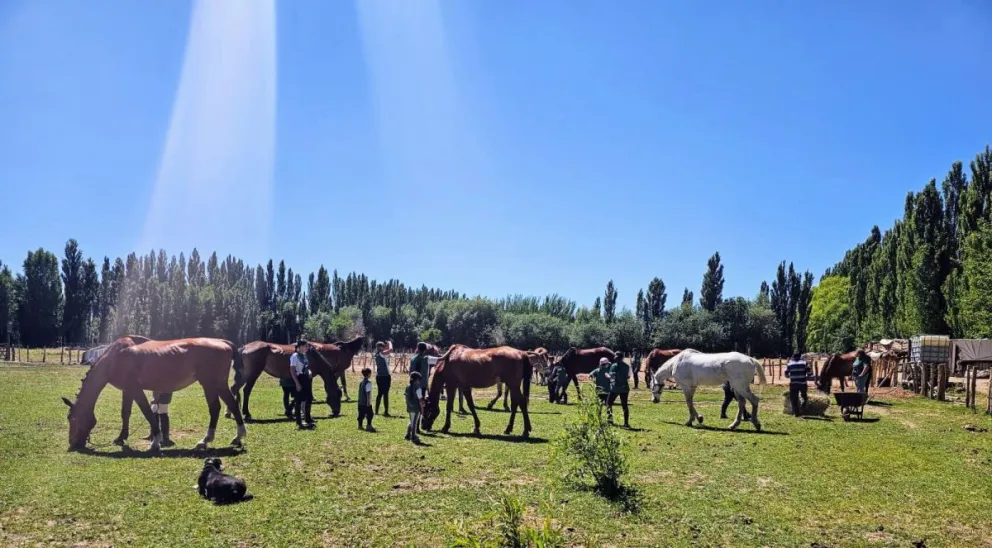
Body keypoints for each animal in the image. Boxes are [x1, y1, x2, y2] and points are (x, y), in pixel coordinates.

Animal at [61, 335, 247, 452]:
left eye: (72, 418)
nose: (73, 444)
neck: (114, 358)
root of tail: (222, 342)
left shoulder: (135, 389)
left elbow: (148, 413)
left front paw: (155, 442)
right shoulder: (127, 390)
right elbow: (125, 413)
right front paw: (121, 438)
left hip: (210, 384)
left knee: (219, 407)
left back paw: (210, 440)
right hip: (216, 385)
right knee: (228, 405)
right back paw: (233, 438)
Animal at [233, 337, 362, 420]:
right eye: (337, 395)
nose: (337, 412)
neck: (312, 355)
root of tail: (244, 347)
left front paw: (290, 411)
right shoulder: (307, 378)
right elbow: (301, 394)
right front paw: (291, 411)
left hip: (244, 374)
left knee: (235, 388)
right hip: (253, 374)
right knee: (246, 390)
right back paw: (247, 414)